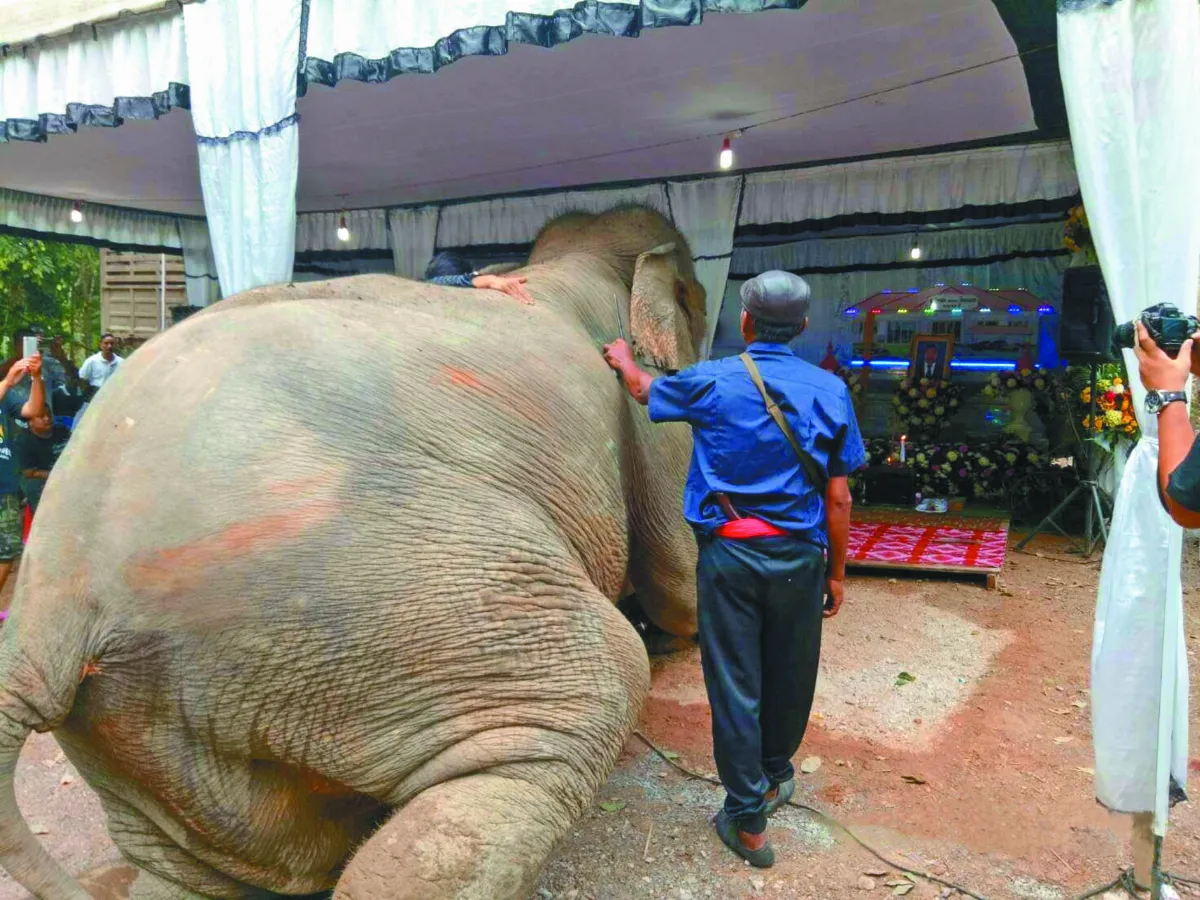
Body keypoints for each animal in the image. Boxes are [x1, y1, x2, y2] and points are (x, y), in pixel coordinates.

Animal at [0, 205, 708, 899]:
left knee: (196, 871)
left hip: (152, 736)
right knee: (591, 693)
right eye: (699, 300)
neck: (570, 257)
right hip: (375, 596)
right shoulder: (642, 404)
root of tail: (44, 629)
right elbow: (679, 566)